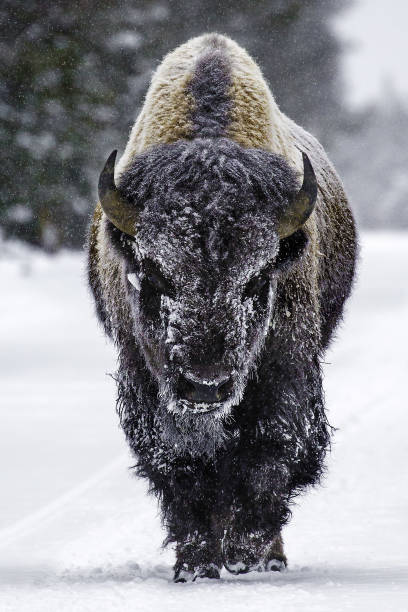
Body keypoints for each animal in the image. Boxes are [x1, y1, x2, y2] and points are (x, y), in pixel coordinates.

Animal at [87, 34, 356, 584]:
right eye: (154, 275)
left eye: (257, 278)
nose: (205, 385)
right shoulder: (148, 383)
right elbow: (183, 469)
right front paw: (195, 564)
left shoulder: (285, 374)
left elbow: (271, 454)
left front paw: (248, 554)